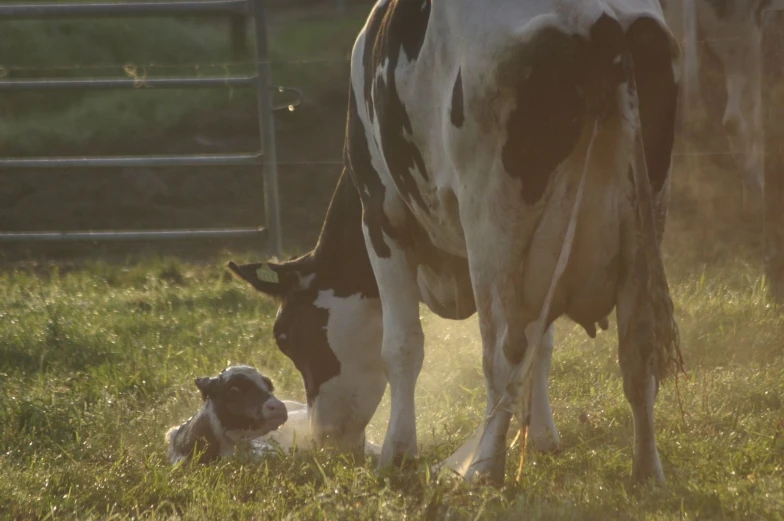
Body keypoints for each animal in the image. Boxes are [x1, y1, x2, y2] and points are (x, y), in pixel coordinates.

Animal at [230, 0, 684, 486]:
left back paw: (483, 468)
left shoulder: (382, 217)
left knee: (503, 352)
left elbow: (402, 345)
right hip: (644, 219)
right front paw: (542, 438)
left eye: (286, 337)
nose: (324, 438)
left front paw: (398, 453)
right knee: (637, 350)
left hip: (491, 222)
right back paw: (647, 471)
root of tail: (595, 17)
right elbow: (543, 344)